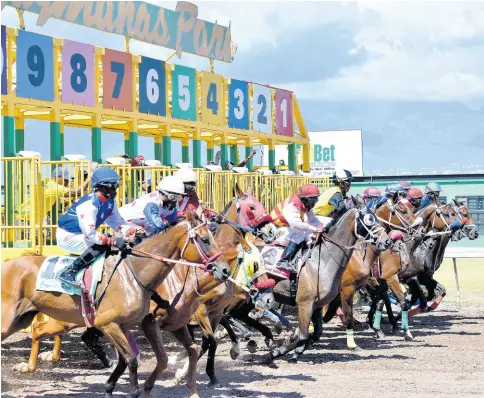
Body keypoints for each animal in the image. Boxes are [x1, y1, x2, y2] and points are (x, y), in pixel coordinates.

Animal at [1, 210, 229, 396]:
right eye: (204, 239)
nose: (225, 269)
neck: (134, 274)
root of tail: (7, 264)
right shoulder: (110, 324)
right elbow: (133, 360)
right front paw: (136, 389)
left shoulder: (130, 326)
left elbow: (135, 359)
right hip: (14, 320)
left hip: (26, 318)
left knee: (37, 329)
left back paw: (28, 367)